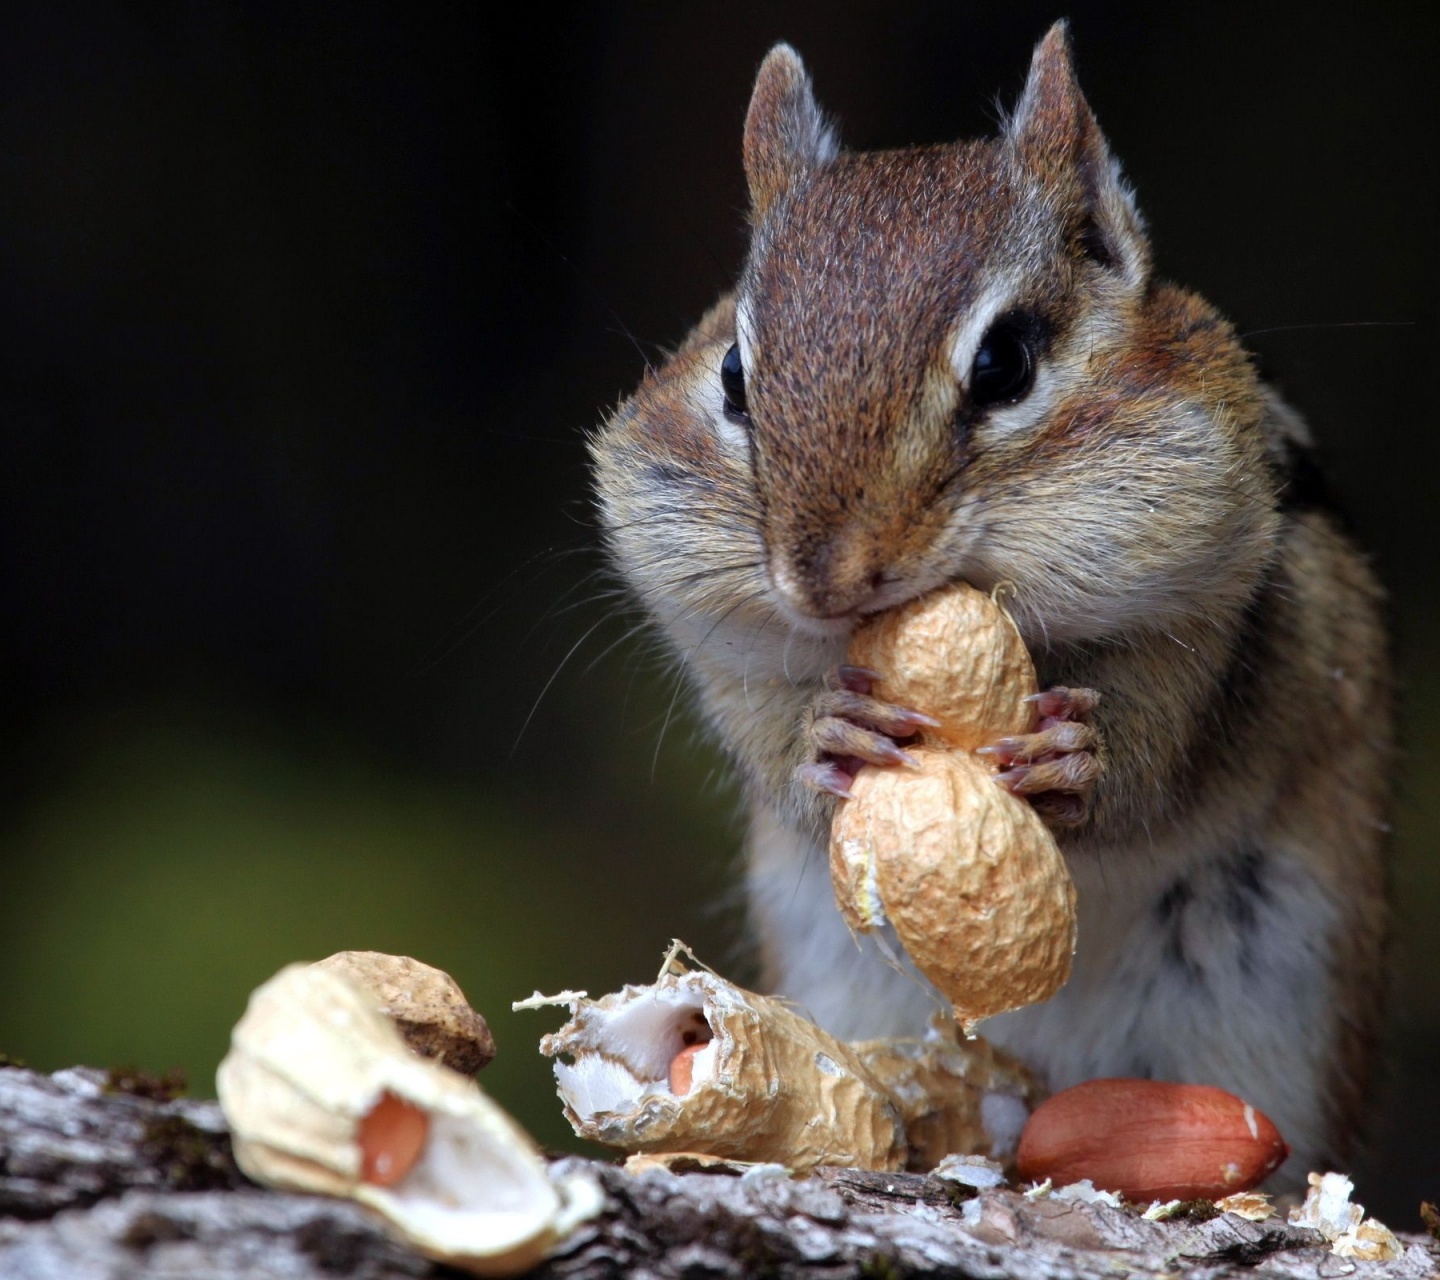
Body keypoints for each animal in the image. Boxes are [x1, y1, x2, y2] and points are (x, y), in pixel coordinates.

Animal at [587, 22, 1393, 1180]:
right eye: (735, 374)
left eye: (1006, 362)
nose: (825, 581)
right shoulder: (722, 642)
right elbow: (773, 737)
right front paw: (829, 730)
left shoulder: (1233, 613)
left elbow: (1172, 749)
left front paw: (1077, 757)